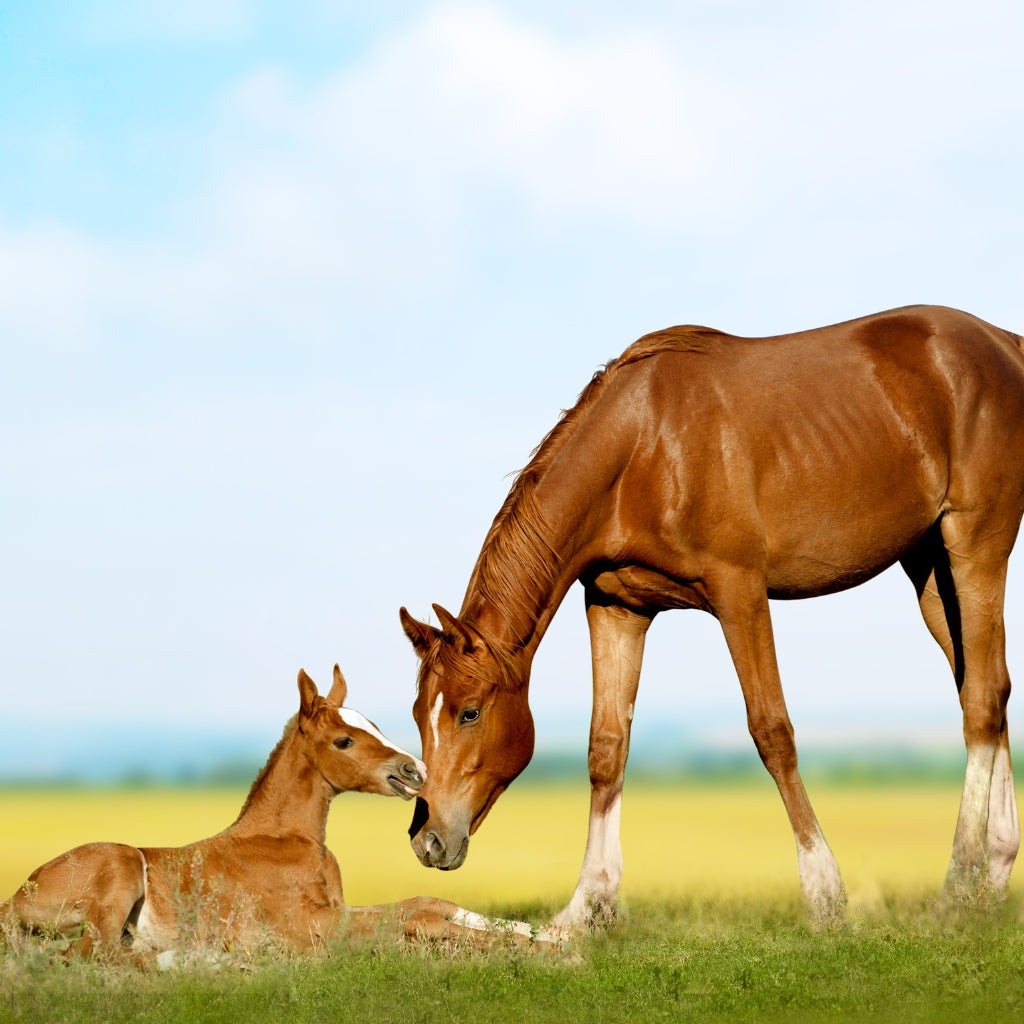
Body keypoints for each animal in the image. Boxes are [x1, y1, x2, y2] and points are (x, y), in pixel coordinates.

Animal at [2, 667, 552, 954]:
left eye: (372, 722)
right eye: (344, 739)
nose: (415, 769)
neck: (286, 841)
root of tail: (12, 903)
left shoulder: (336, 909)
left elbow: (424, 902)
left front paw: (548, 933)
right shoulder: (310, 925)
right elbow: (416, 919)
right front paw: (544, 951)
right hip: (118, 865)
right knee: (91, 954)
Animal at [399, 303, 1024, 929]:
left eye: (470, 713)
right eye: (416, 715)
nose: (427, 840)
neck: (643, 447)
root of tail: (1004, 343)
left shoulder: (738, 590)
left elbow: (772, 730)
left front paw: (825, 895)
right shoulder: (616, 607)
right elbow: (607, 747)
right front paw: (585, 905)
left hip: (975, 545)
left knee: (982, 699)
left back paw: (958, 884)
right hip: (931, 571)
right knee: (987, 694)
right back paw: (992, 876)